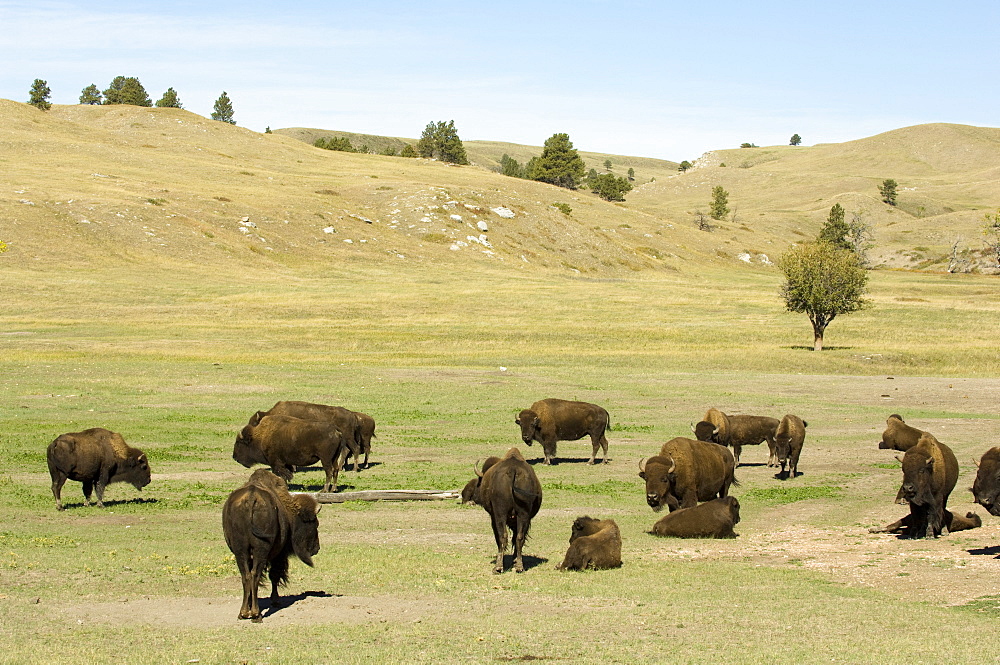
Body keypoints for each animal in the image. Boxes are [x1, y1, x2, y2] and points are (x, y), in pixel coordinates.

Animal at [222, 470, 320, 620]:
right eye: (315, 524)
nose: (317, 548)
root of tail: (251, 498)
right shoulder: (279, 555)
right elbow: (274, 575)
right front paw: (275, 600)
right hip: (260, 550)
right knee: (255, 575)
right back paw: (256, 615)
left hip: (241, 551)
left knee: (246, 575)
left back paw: (244, 612)